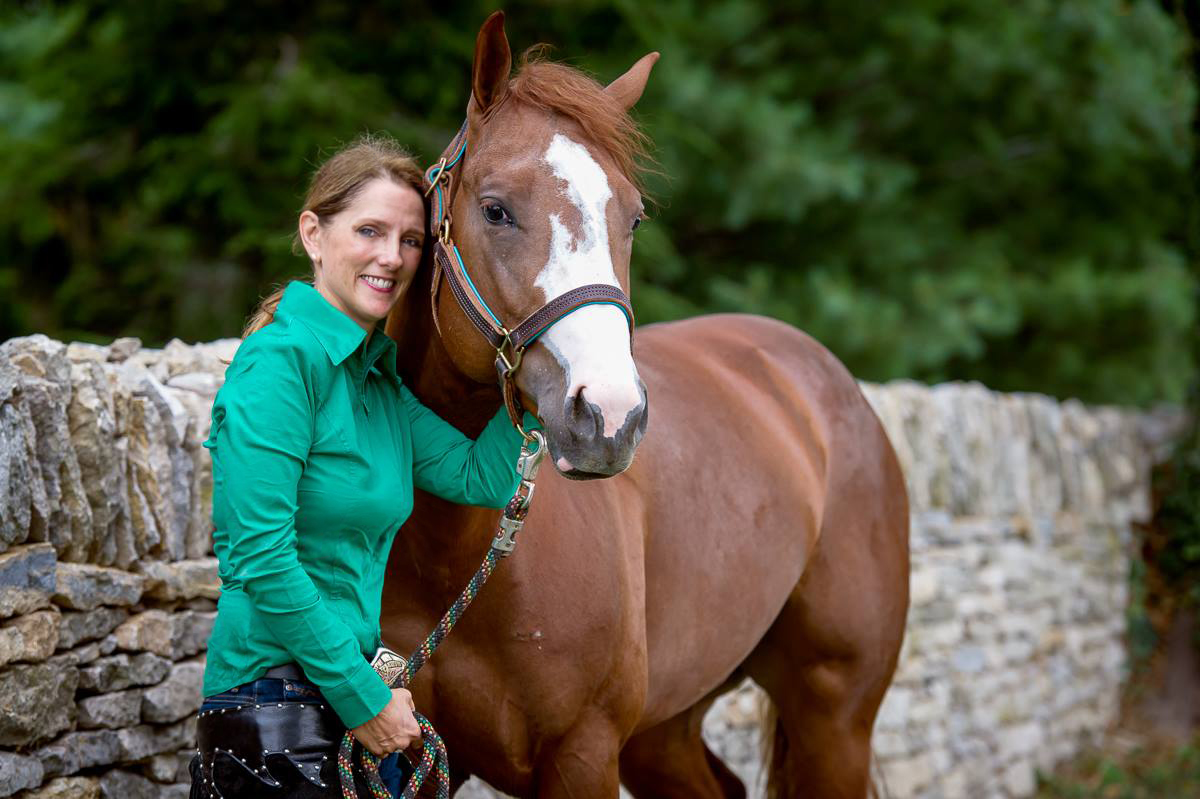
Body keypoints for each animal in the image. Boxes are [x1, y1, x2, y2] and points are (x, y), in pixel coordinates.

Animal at [384, 12, 907, 796]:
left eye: (631, 220)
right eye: (496, 209)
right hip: (667, 729)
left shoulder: (583, 754)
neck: (449, 557)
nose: (610, 418)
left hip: (833, 720)